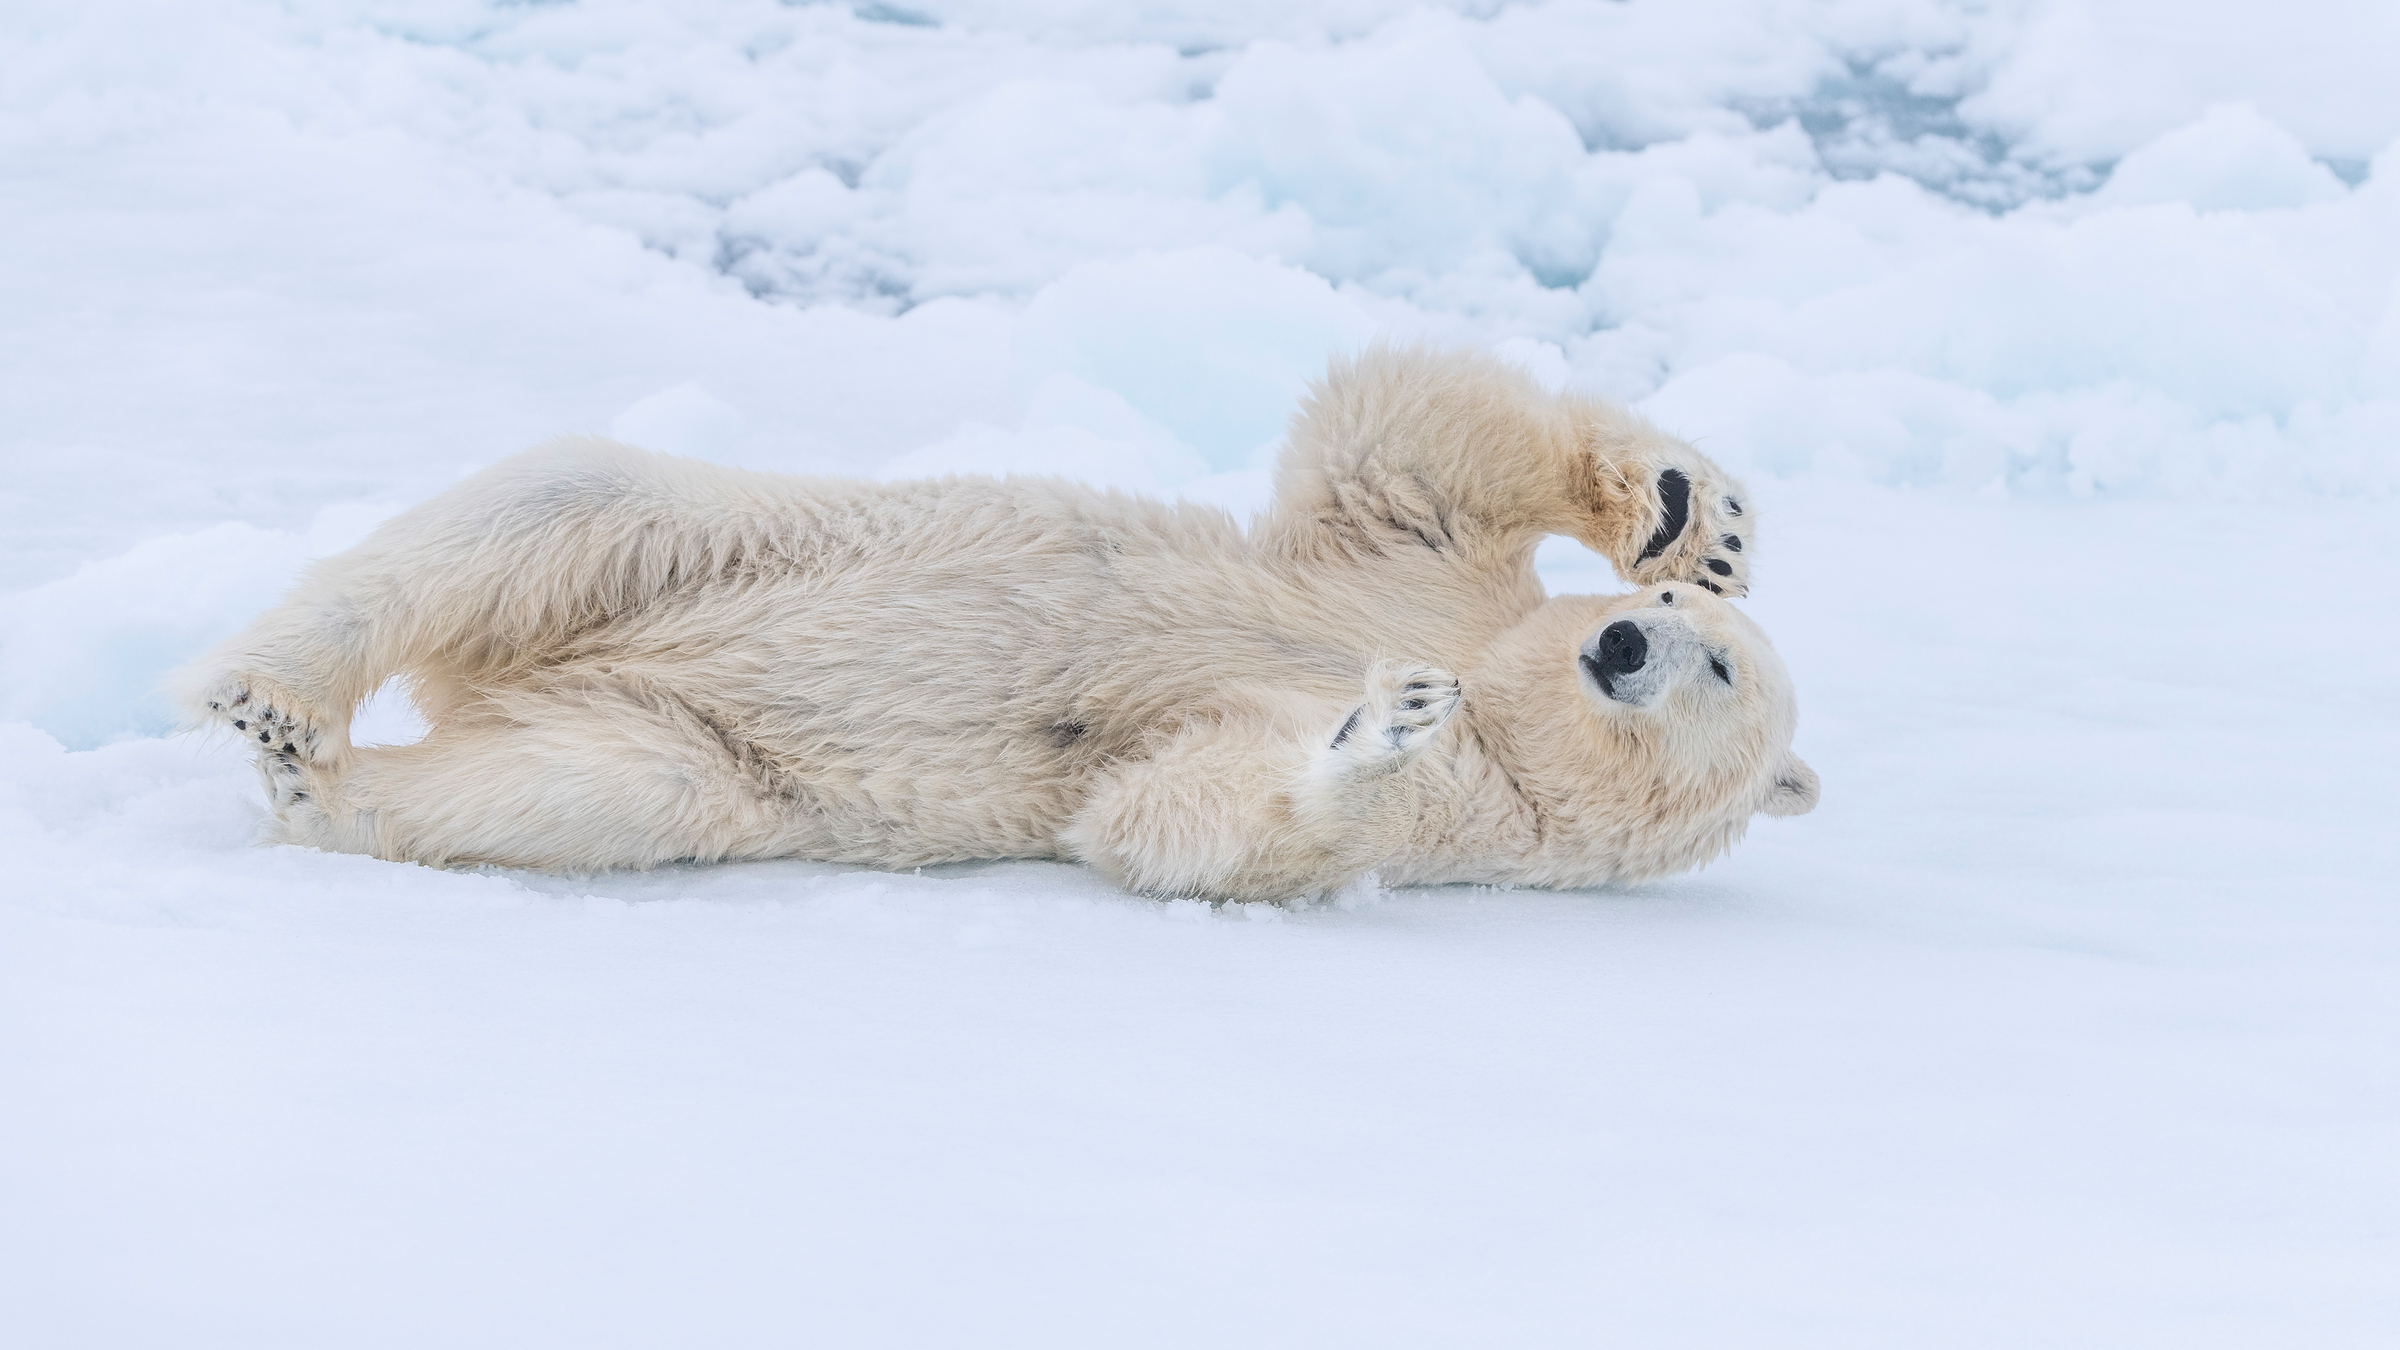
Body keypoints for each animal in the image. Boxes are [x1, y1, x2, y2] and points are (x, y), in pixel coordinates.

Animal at [174, 343, 1814, 893]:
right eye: (1685, 618)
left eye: (1722, 677)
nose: (1625, 643)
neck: (1514, 695)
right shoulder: (1407, 581)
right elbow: (1405, 449)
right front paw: (1693, 507)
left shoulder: (1490, 819)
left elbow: (1177, 813)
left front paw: (1380, 730)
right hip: (698, 550)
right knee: (557, 500)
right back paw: (267, 690)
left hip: (692, 748)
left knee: (581, 786)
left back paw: (319, 784)